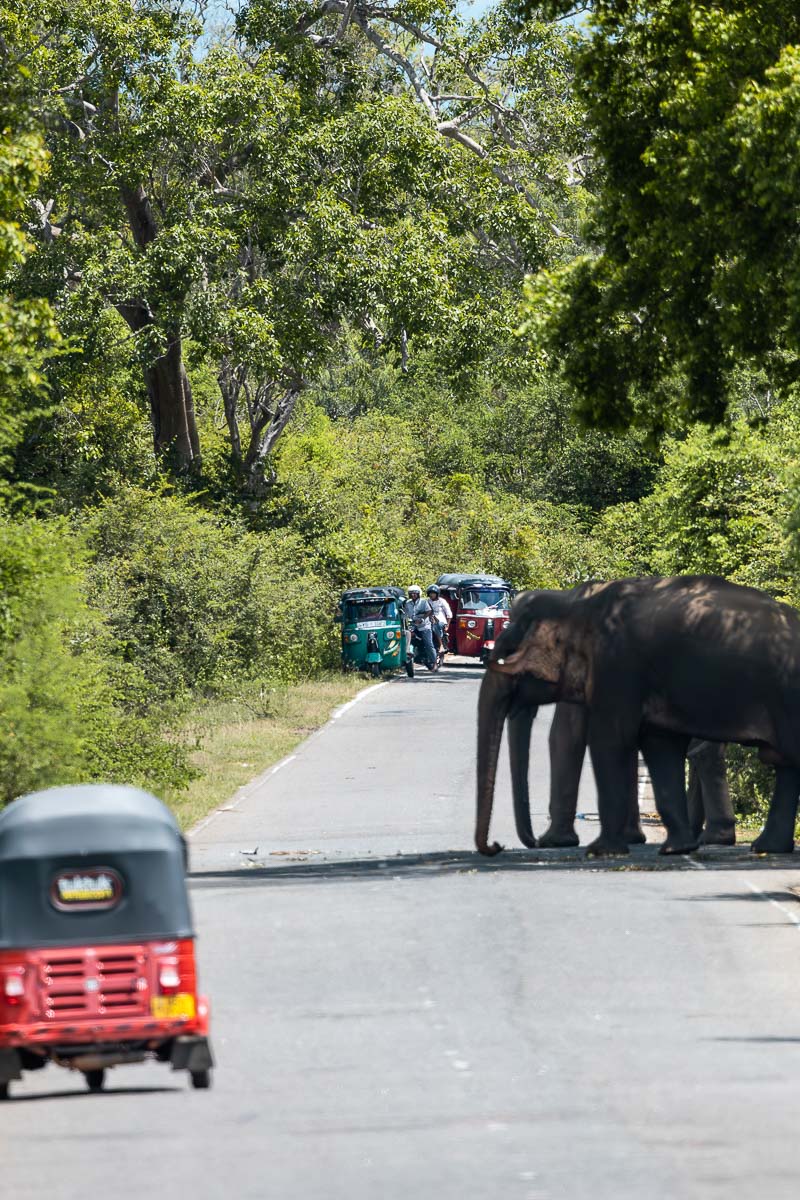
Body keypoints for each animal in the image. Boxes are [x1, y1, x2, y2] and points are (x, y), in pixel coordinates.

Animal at [476, 575, 800, 858]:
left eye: (510, 652)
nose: (497, 845)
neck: (573, 601)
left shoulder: (616, 664)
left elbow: (601, 738)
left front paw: (599, 850)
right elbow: (658, 745)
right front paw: (674, 849)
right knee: (778, 765)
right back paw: (759, 846)